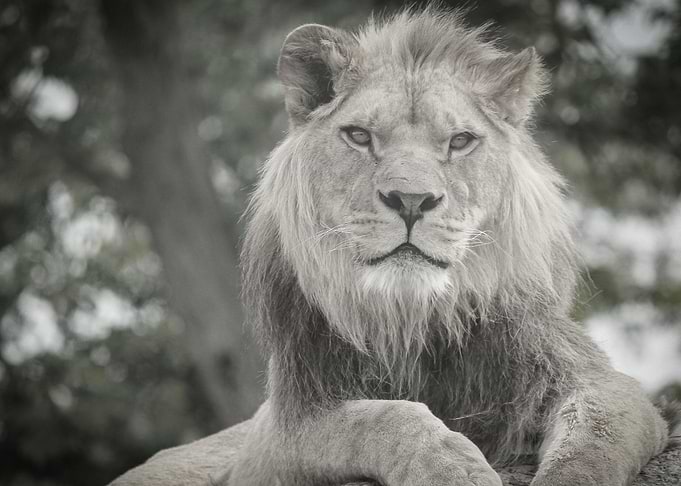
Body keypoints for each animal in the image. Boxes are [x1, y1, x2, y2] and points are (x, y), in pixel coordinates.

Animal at [110, 8, 679, 486]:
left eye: (460, 141)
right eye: (360, 137)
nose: (411, 200)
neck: (408, 318)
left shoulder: (594, 382)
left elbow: (591, 446)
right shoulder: (288, 425)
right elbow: (385, 418)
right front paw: (452, 467)